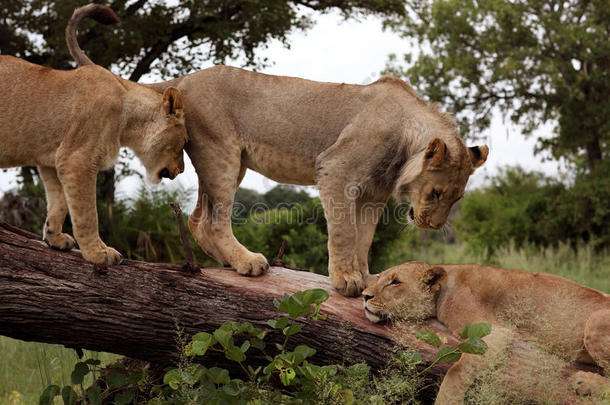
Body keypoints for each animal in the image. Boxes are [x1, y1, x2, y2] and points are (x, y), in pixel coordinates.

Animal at [0, 5, 188, 266]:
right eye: (185, 142)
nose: (181, 170)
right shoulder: (77, 159)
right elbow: (88, 213)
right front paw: (97, 253)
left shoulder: (52, 160)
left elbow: (59, 202)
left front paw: (55, 237)